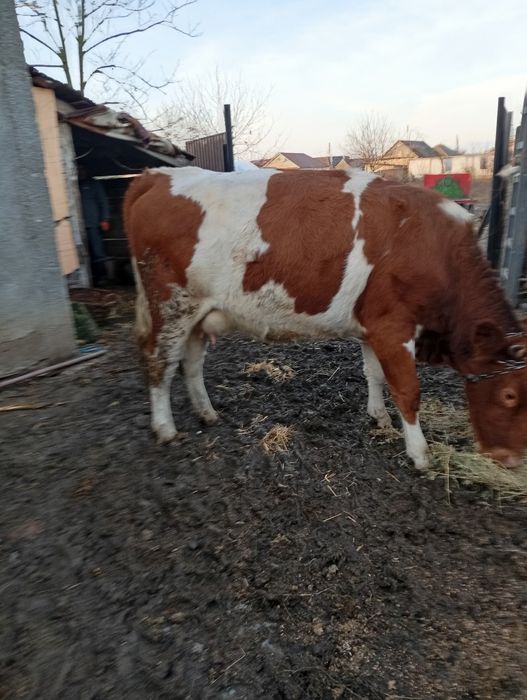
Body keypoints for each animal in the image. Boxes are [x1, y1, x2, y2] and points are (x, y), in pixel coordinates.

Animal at [123, 166, 527, 469]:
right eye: (509, 395)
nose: (508, 459)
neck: (437, 251)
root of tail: (157, 175)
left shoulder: (372, 325)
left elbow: (374, 374)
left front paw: (378, 416)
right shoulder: (393, 327)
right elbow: (408, 391)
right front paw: (420, 453)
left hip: (199, 313)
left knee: (191, 362)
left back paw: (207, 413)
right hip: (170, 306)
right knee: (159, 363)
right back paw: (165, 428)